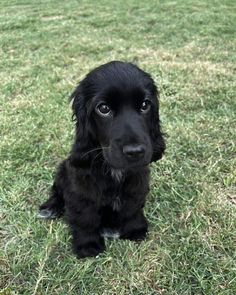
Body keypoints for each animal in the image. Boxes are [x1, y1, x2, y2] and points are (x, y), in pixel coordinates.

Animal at [38, 61, 165, 258]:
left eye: (145, 105)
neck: (114, 168)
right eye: (103, 109)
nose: (135, 152)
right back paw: (50, 207)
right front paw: (88, 244)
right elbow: (85, 215)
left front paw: (135, 229)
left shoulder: (137, 180)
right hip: (63, 169)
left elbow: (133, 206)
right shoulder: (81, 186)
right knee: (57, 191)